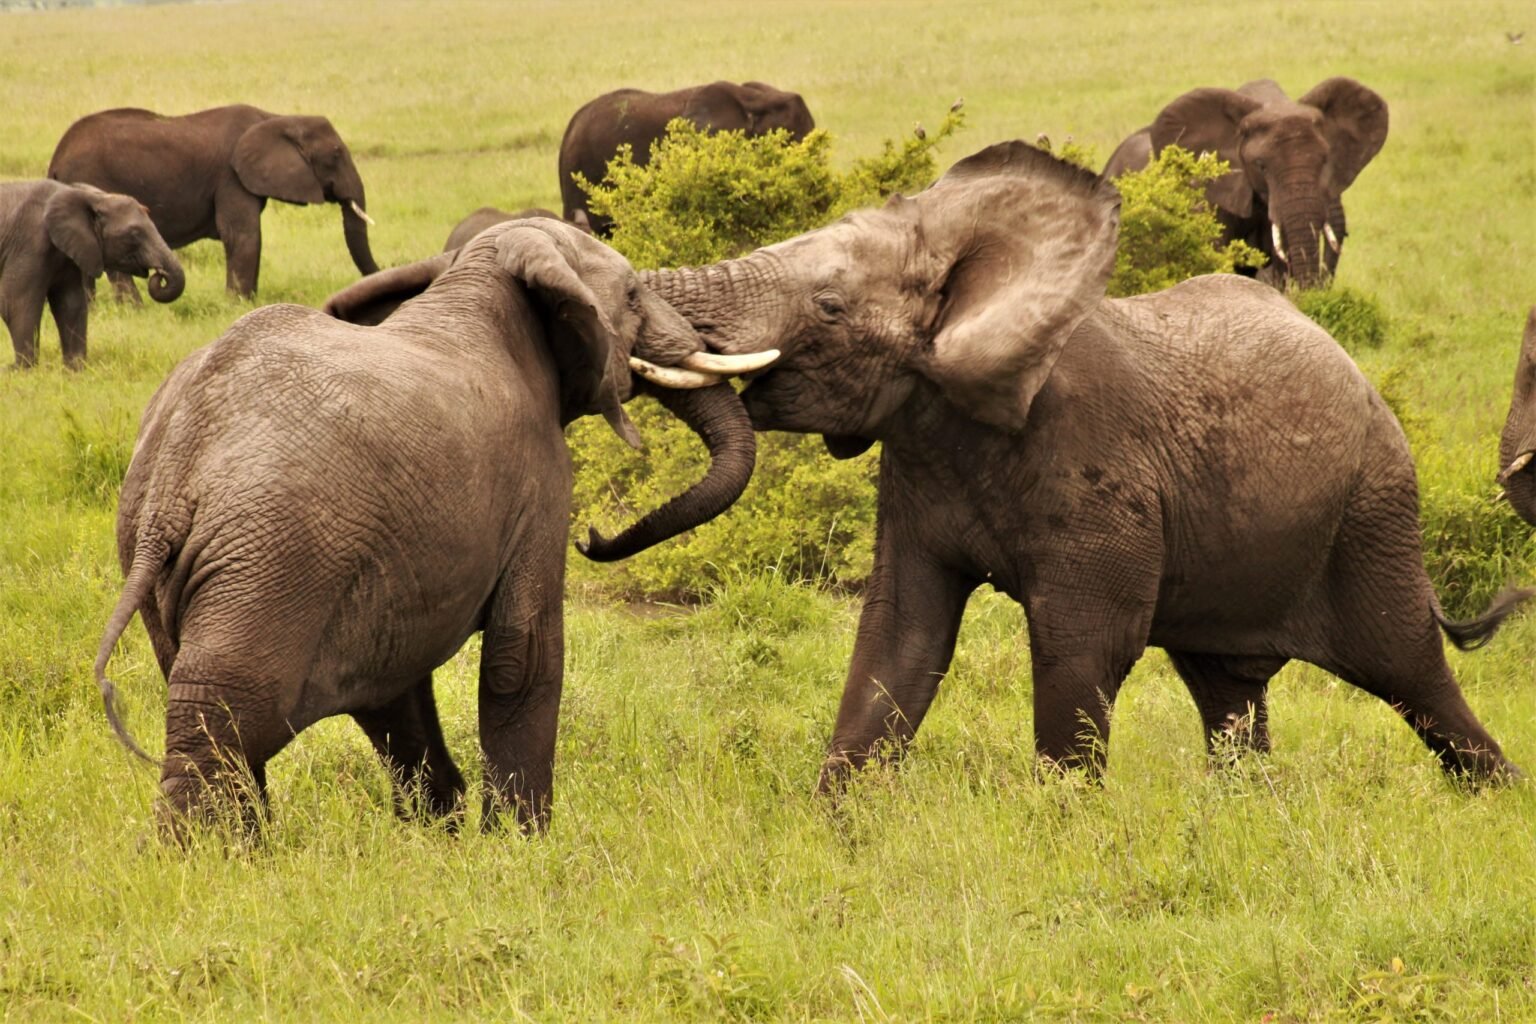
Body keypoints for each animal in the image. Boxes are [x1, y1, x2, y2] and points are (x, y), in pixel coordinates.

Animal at [0, 180, 184, 369]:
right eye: (134, 233)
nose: (160, 274)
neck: (91, 197)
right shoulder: (30, 243)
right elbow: (16, 304)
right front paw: (23, 370)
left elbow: (71, 304)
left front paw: (76, 369)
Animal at [49, 104, 379, 300]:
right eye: (336, 155)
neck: (276, 118)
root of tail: (56, 158)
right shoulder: (231, 176)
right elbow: (242, 234)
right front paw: (239, 304)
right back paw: (135, 309)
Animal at [94, 218, 775, 837]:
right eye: (632, 294)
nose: (595, 538)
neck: (478, 281)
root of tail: (176, 470)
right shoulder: (540, 478)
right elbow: (521, 654)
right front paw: (520, 848)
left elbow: (397, 682)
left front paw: (438, 834)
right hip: (274, 559)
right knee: (228, 714)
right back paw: (212, 861)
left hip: (180, 556)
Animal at [645, 140, 1528, 792]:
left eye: (829, 308)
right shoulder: (915, 464)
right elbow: (898, 637)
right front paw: (839, 826)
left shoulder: (1096, 466)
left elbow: (1084, 647)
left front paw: (1061, 830)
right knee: (1228, 691)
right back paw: (1246, 808)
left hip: (1372, 509)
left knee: (1413, 672)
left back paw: (1498, 794)